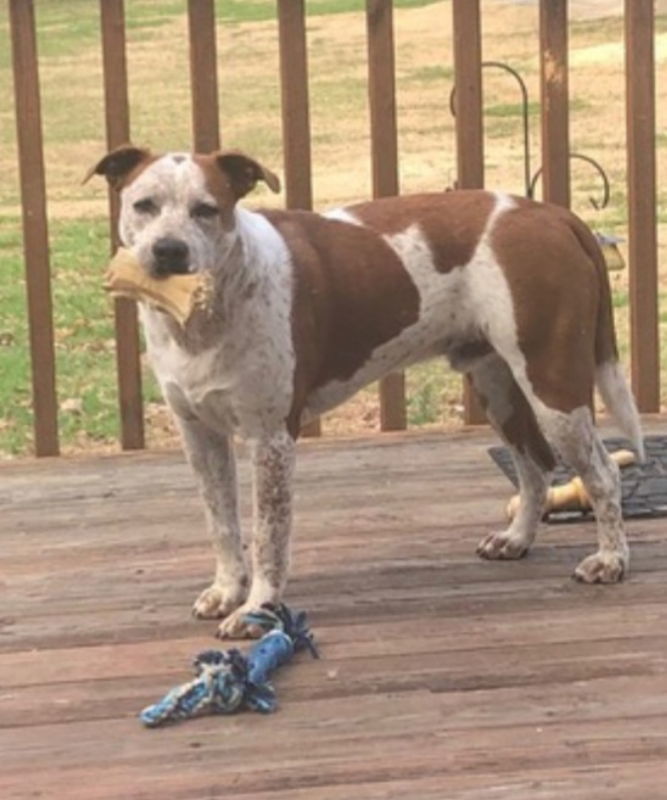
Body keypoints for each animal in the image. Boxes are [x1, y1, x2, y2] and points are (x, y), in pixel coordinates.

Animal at [88, 145, 648, 636]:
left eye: (207, 210)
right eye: (144, 205)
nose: (168, 250)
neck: (203, 316)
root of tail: (554, 215)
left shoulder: (271, 438)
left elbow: (268, 535)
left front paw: (257, 611)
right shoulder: (199, 436)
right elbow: (222, 523)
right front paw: (228, 591)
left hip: (553, 382)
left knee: (601, 473)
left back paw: (609, 560)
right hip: (498, 385)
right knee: (534, 463)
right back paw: (515, 539)